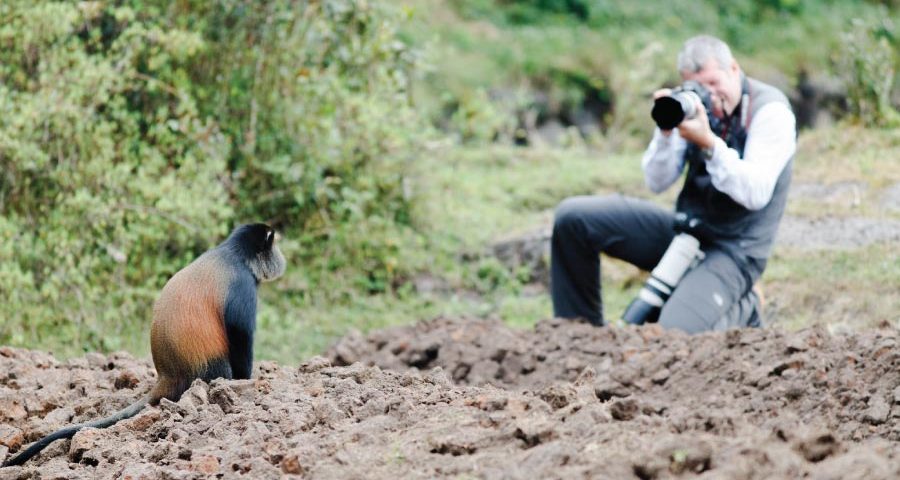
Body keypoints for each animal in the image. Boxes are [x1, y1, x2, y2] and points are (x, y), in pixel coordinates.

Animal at [2, 223, 286, 468]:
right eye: (273, 244)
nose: (282, 259)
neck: (234, 253)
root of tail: (167, 375)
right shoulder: (243, 286)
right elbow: (240, 334)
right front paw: (247, 383)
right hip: (210, 369)